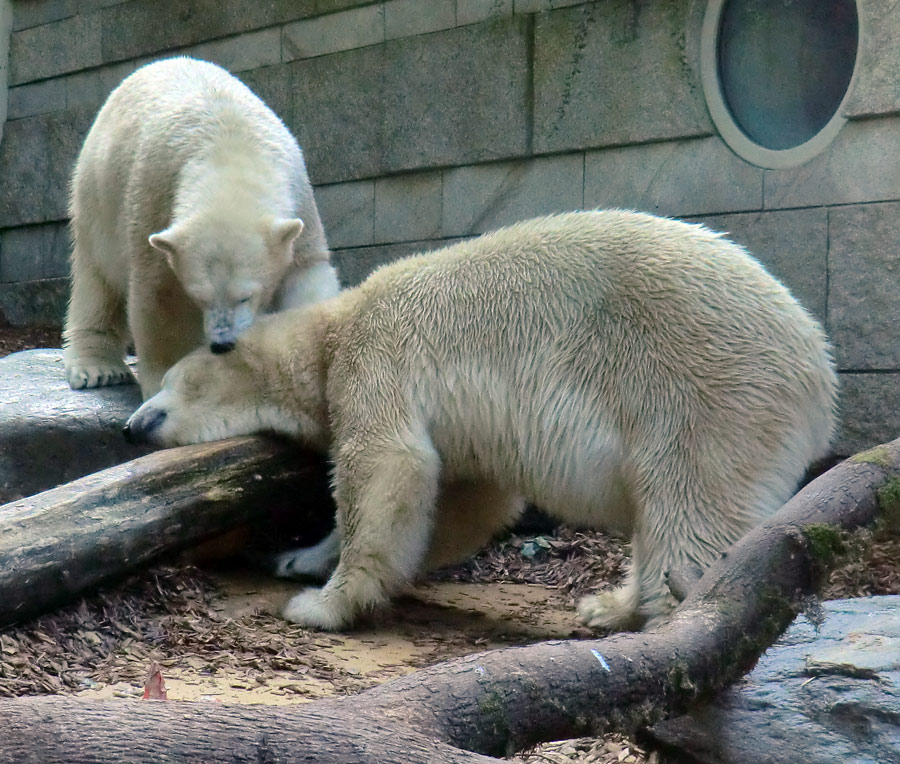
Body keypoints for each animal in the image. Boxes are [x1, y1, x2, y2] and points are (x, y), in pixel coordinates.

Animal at [62, 56, 338, 400]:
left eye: (246, 296)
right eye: (200, 297)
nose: (222, 343)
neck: (231, 149)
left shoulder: (300, 203)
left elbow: (305, 275)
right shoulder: (156, 200)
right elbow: (161, 297)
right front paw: (167, 386)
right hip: (97, 195)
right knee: (96, 278)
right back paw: (98, 369)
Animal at [123, 209, 840, 632]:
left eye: (171, 385)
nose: (133, 426)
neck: (333, 329)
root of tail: (819, 368)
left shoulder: (376, 358)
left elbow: (386, 467)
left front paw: (320, 605)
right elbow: (464, 498)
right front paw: (299, 558)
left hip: (705, 392)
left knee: (690, 510)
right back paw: (606, 607)